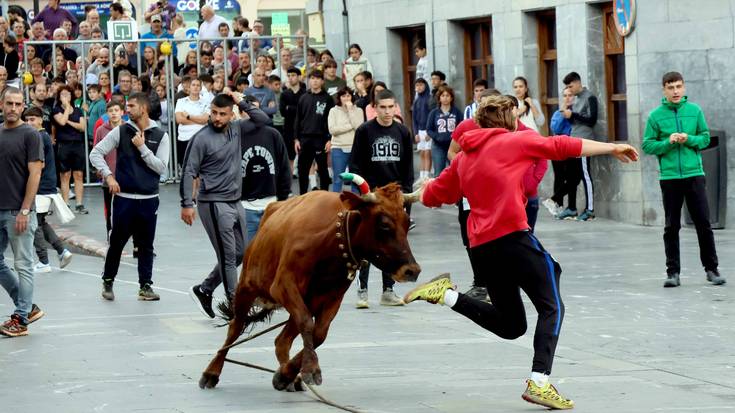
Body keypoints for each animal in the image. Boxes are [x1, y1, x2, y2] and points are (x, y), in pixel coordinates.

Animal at [200, 181, 420, 390]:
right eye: (384, 224)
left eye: (407, 222)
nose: (412, 270)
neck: (332, 239)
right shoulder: (283, 285)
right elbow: (307, 324)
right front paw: (311, 369)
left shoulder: (332, 296)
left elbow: (319, 333)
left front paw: (287, 374)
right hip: (247, 287)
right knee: (235, 328)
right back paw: (211, 372)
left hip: (304, 300)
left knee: (282, 340)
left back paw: (289, 377)